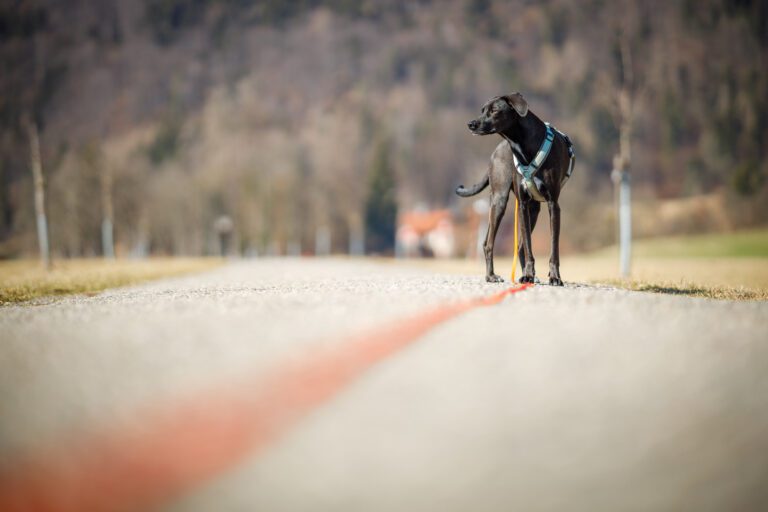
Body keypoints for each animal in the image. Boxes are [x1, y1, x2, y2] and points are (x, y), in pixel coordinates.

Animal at [452, 94, 572, 286]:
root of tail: (497, 151)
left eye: (494, 110)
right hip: (499, 201)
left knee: (519, 246)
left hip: (533, 210)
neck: (523, 144)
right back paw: (491, 276)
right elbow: (529, 247)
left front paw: (554, 277)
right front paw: (529, 274)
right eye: (482, 110)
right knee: (489, 243)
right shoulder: (523, 205)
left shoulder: (553, 205)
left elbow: (553, 248)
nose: (471, 124)